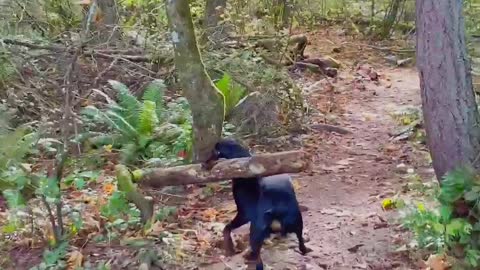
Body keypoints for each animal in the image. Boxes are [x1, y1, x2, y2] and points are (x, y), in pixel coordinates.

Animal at [202, 139, 308, 270]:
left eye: (214, 152)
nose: (202, 164)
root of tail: (279, 206)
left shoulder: (244, 214)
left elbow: (227, 228)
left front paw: (229, 249)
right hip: (296, 221)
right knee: (300, 240)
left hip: (257, 227)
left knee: (257, 254)